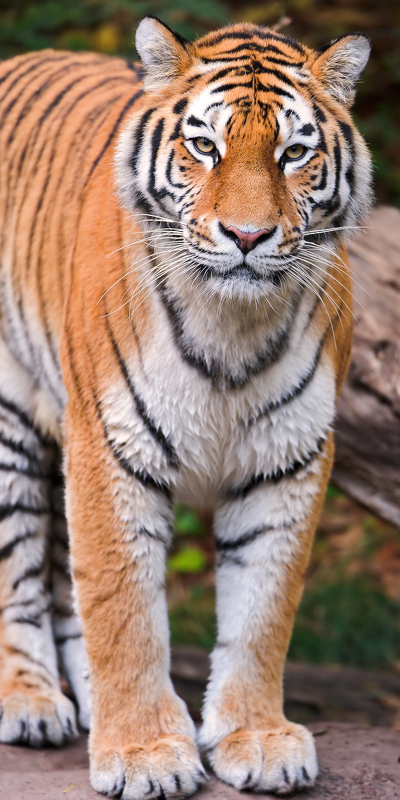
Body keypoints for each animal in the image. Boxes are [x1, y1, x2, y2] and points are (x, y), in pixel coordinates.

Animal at [0, 14, 372, 800]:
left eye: (294, 153)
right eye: (205, 146)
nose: (248, 237)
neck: (233, 324)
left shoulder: (288, 457)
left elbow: (263, 610)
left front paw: (256, 737)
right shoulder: (110, 447)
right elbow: (123, 608)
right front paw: (143, 751)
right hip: (10, 423)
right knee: (17, 574)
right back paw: (31, 702)